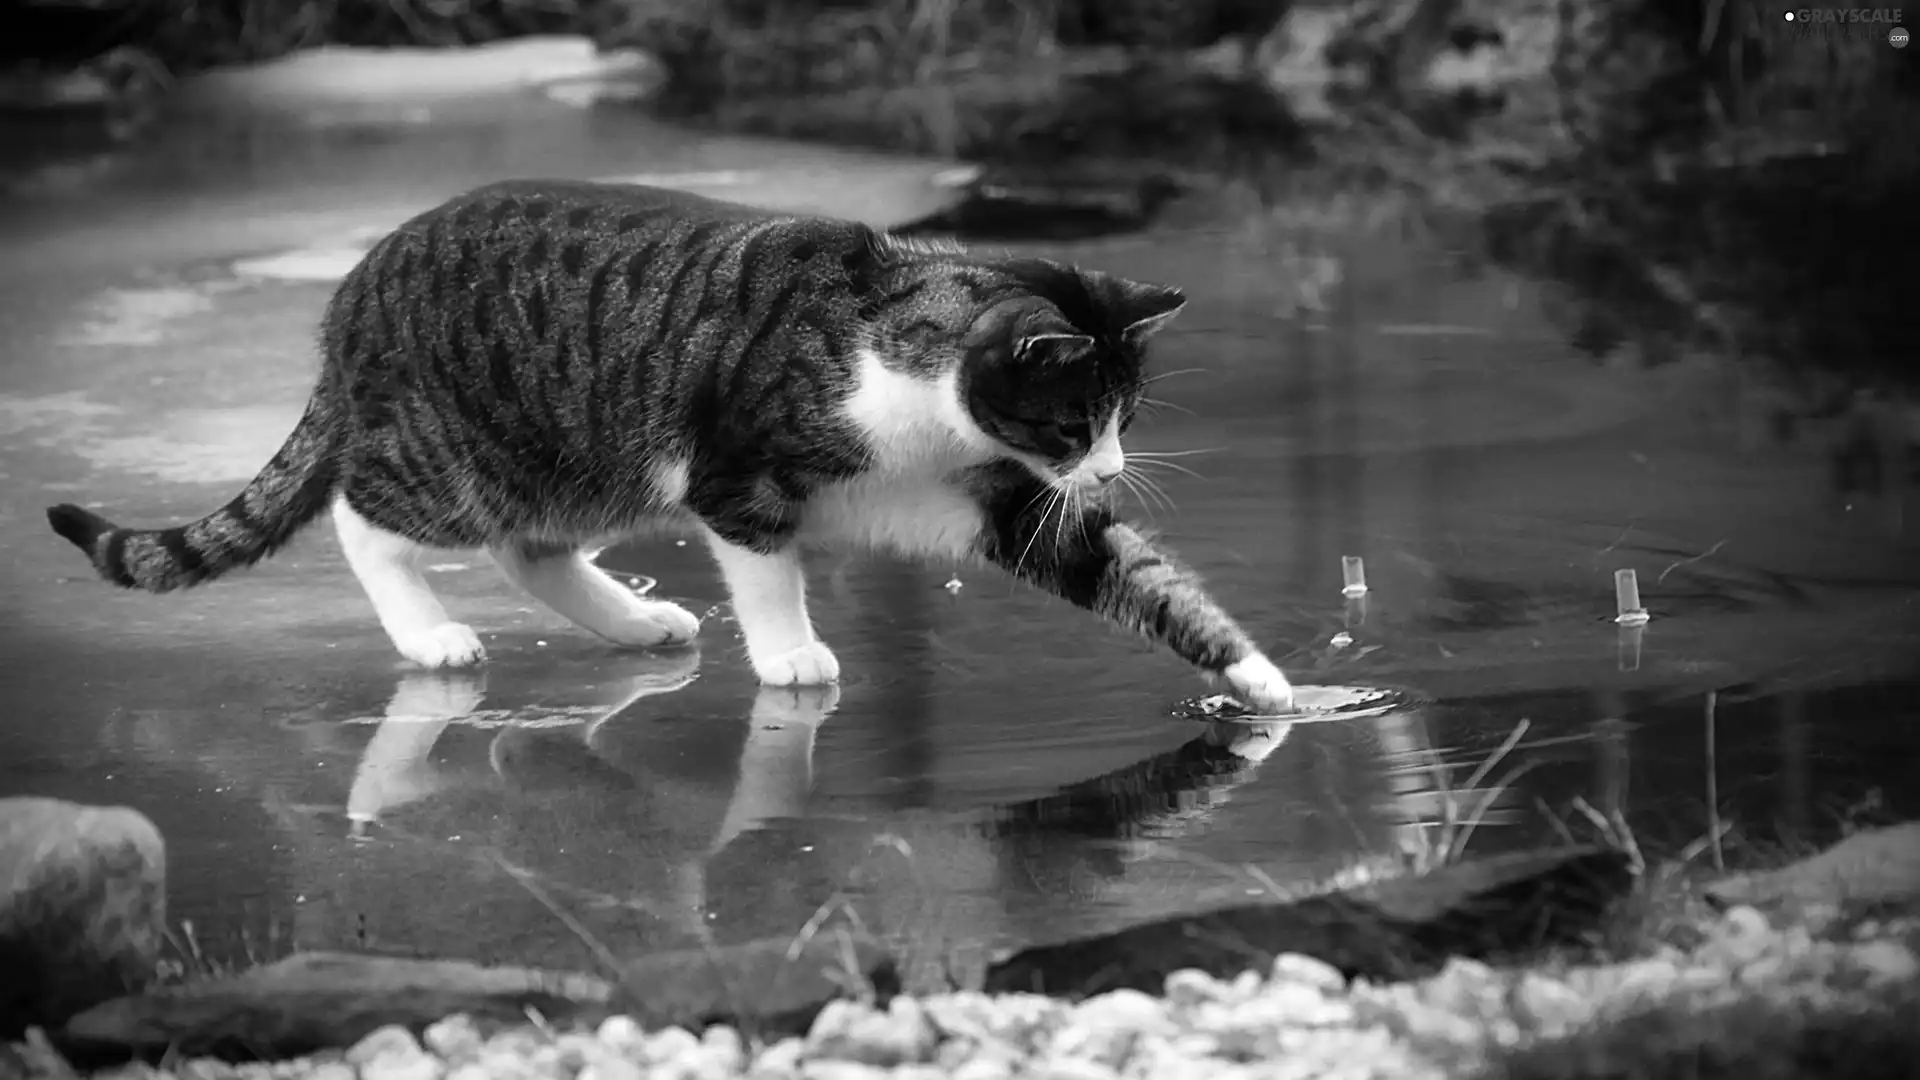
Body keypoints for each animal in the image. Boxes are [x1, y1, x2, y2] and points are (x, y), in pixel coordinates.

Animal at [48, 176, 1305, 711]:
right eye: (1076, 420)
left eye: (1126, 421)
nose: (1111, 468)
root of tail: (348, 300)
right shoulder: (737, 475)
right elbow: (768, 573)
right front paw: (792, 654)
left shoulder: (996, 498)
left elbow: (1135, 577)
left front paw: (1267, 681)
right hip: (468, 450)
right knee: (370, 519)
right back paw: (431, 633)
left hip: (581, 466)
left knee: (530, 549)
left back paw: (638, 622)